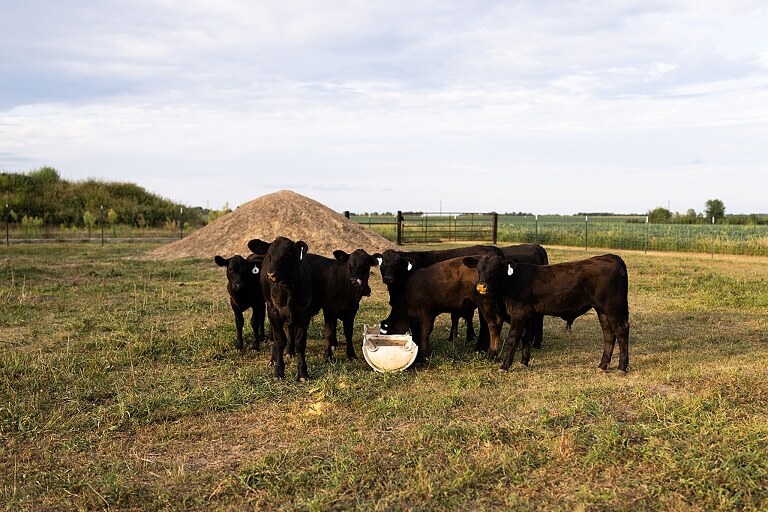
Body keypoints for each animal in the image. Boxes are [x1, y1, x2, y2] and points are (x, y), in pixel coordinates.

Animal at [248, 236, 314, 381]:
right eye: (269, 254)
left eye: (288, 254)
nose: (271, 274)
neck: (289, 290)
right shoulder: (274, 312)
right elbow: (279, 340)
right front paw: (279, 370)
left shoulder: (304, 314)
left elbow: (300, 342)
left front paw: (303, 372)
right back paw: (273, 359)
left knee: (290, 328)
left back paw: (290, 351)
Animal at [463, 252, 630, 372]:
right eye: (479, 269)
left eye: (495, 269)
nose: (481, 286)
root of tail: (609, 257)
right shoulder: (526, 315)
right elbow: (525, 337)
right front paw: (524, 362)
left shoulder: (519, 314)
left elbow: (513, 338)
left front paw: (505, 366)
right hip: (602, 310)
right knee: (609, 334)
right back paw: (603, 365)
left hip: (612, 308)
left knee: (621, 331)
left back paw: (622, 366)